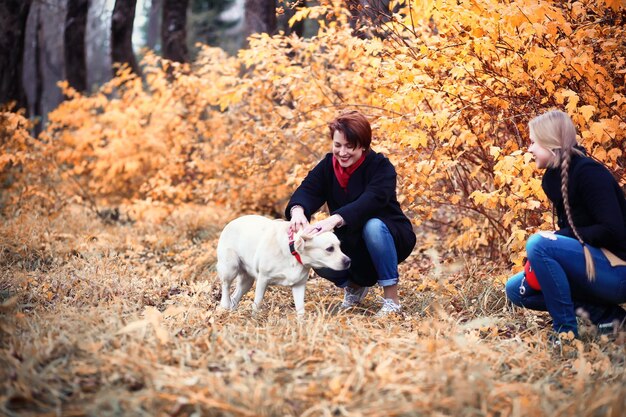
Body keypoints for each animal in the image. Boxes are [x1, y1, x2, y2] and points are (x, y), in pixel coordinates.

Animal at [217, 214, 348, 312]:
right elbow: (257, 304)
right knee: (226, 287)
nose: (348, 261)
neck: (292, 251)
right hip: (230, 269)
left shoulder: (299, 285)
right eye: (330, 249)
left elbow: (301, 310)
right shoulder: (263, 279)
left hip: (247, 281)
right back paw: (224, 306)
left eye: (340, 246)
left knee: (234, 297)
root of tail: (231, 222)